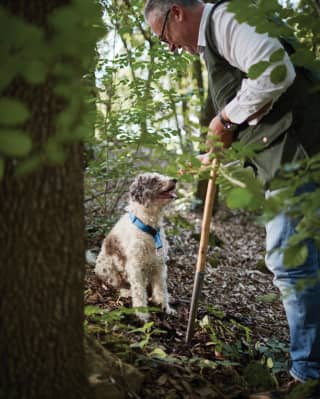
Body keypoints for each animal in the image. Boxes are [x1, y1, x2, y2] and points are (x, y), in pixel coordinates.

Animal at [95, 173, 178, 320]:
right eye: (154, 179)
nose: (175, 179)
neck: (149, 229)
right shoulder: (135, 266)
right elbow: (139, 291)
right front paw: (142, 313)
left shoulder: (159, 264)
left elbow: (161, 288)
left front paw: (165, 307)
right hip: (109, 267)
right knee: (116, 284)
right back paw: (126, 292)